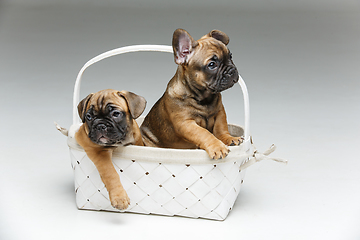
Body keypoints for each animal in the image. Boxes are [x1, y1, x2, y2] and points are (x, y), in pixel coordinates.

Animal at [141, 28, 242, 159]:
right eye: (212, 65)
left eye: (230, 56)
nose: (232, 70)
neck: (204, 98)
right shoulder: (186, 123)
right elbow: (203, 133)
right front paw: (217, 147)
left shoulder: (220, 113)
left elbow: (221, 128)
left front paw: (229, 138)